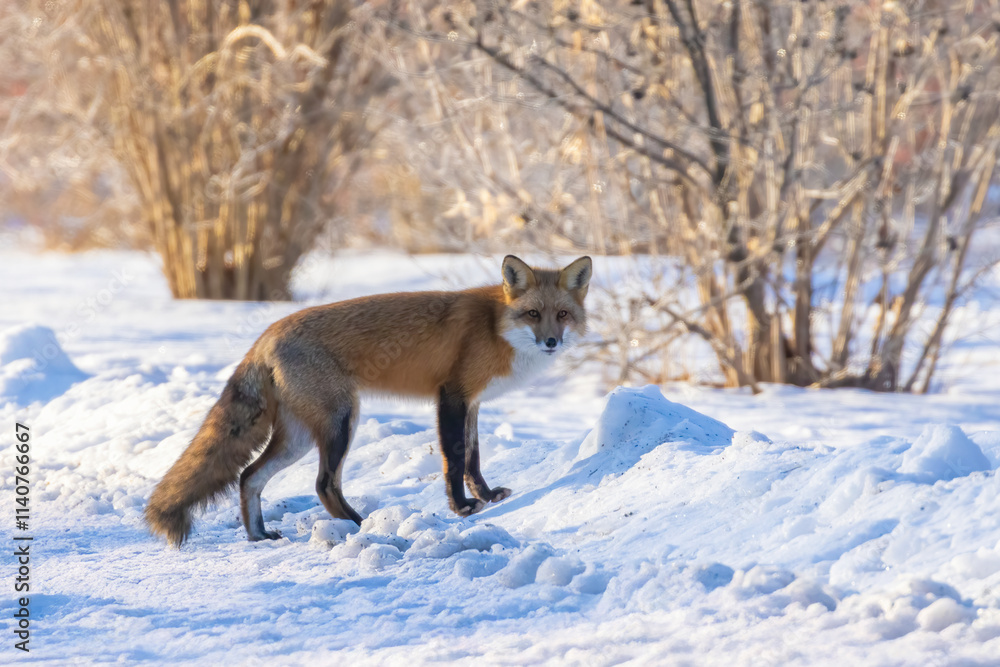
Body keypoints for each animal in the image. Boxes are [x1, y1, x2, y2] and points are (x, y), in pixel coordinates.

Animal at [145, 254, 592, 546]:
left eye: (562, 315)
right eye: (532, 314)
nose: (551, 342)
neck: (494, 326)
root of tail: (267, 333)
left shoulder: (474, 403)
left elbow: (473, 459)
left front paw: (484, 496)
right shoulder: (452, 395)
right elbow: (454, 458)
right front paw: (462, 508)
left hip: (299, 437)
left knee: (249, 476)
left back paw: (259, 535)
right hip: (342, 420)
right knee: (323, 483)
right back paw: (361, 526)